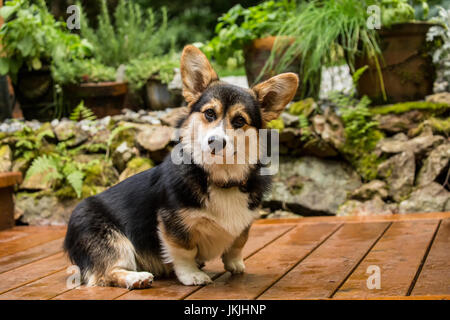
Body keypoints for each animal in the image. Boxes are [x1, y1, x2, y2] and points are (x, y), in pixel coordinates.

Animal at [63, 45, 298, 290]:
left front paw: (235, 264)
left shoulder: (244, 223)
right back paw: (136, 278)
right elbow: (184, 251)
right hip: (112, 239)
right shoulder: (173, 223)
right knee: (106, 273)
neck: (220, 178)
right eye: (209, 113)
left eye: (240, 121)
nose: (215, 142)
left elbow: (237, 243)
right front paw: (192, 275)